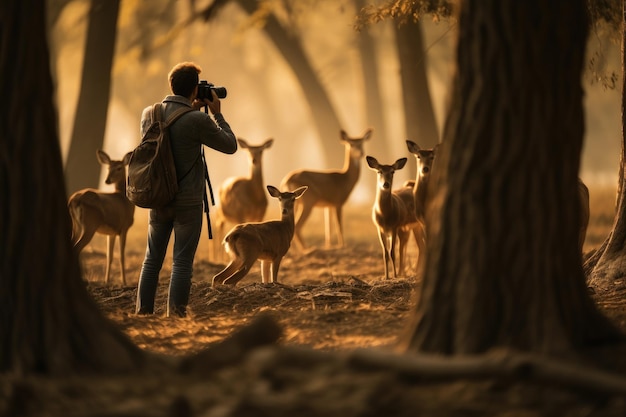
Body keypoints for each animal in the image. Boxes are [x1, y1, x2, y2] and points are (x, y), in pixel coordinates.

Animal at [66, 150, 133, 286]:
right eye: (108, 167)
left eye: (118, 168)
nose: (107, 180)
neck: (125, 201)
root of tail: (74, 200)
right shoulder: (124, 228)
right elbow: (121, 256)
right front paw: (124, 282)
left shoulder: (111, 232)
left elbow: (109, 256)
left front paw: (106, 281)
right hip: (90, 224)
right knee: (77, 248)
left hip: (75, 225)